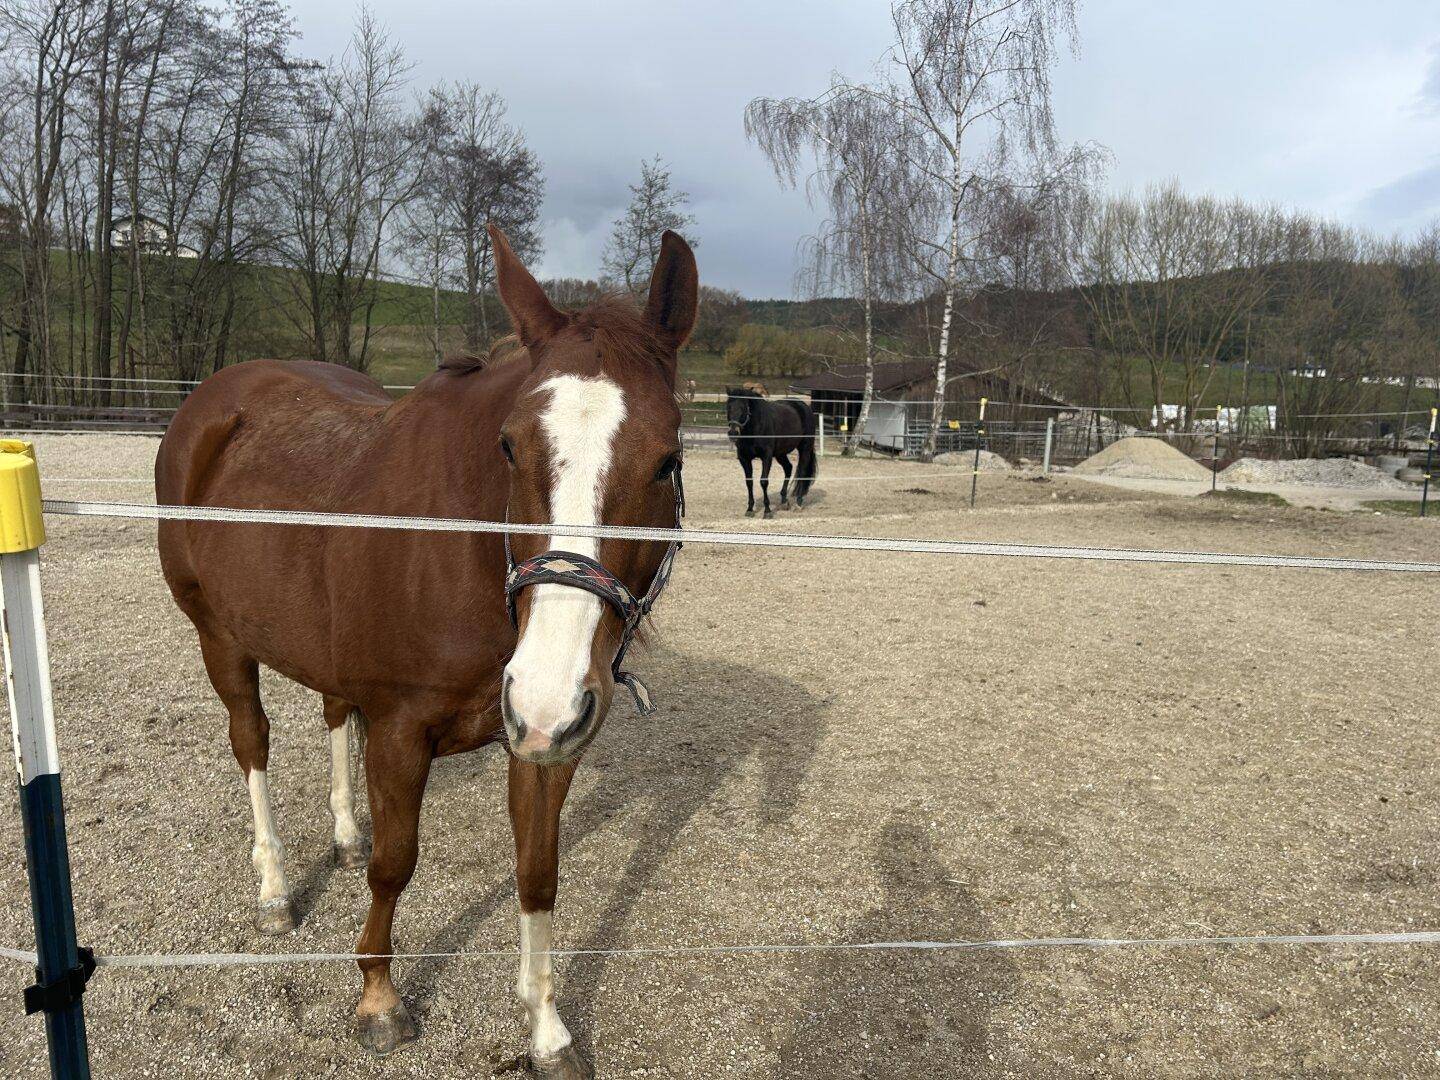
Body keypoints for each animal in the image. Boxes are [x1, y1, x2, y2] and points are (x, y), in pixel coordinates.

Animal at [155, 226, 697, 1078]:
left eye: (667, 459)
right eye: (509, 446)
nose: (548, 690)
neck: (464, 553)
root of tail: (210, 404)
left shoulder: (542, 742)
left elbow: (537, 872)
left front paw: (546, 1027)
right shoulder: (404, 731)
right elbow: (397, 864)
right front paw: (378, 999)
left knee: (332, 714)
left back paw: (344, 833)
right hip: (219, 636)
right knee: (251, 742)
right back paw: (274, 887)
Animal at [725, 386, 818, 517]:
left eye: (744, 408)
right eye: (728, 407)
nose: (733, 432)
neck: (755, 428)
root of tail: (804, 406)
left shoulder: (767, 457)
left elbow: (764, 481)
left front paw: (767, 511)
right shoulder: (744, 458)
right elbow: (749, 482)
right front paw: (750, 509)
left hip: (805, 447)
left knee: (802, 472)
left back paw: (798, 503)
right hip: (781, 454)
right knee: (788, 468)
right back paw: (784, 501)